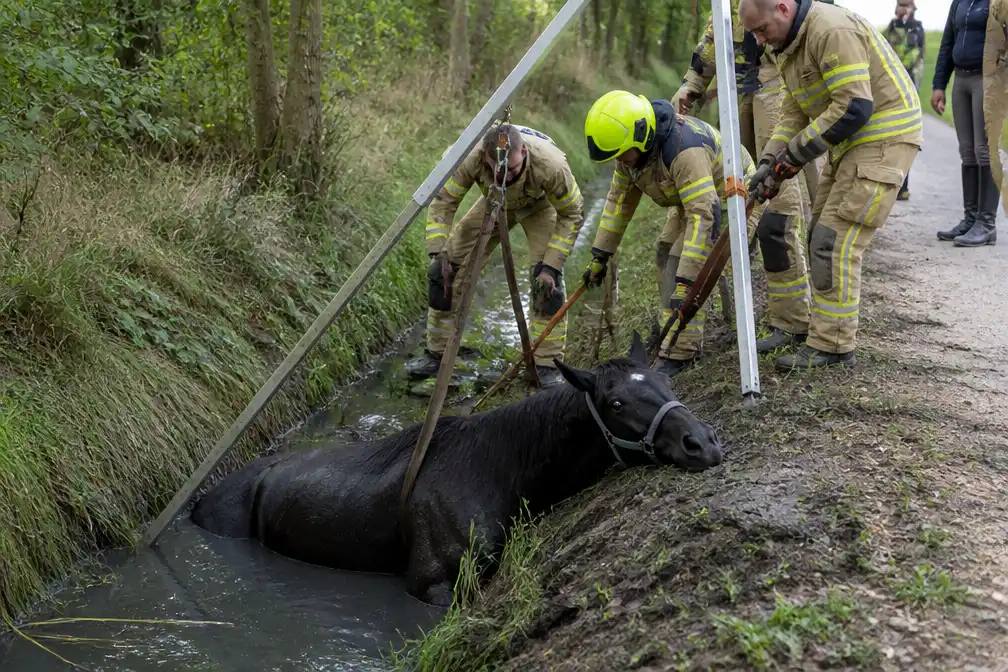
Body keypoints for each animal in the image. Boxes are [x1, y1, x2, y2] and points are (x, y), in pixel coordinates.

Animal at [190, 331, 723, 607]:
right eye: (615, 402)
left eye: (664, 378)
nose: (702, 443)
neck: (502, 470)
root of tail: (199, 500)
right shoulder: (431, 584)